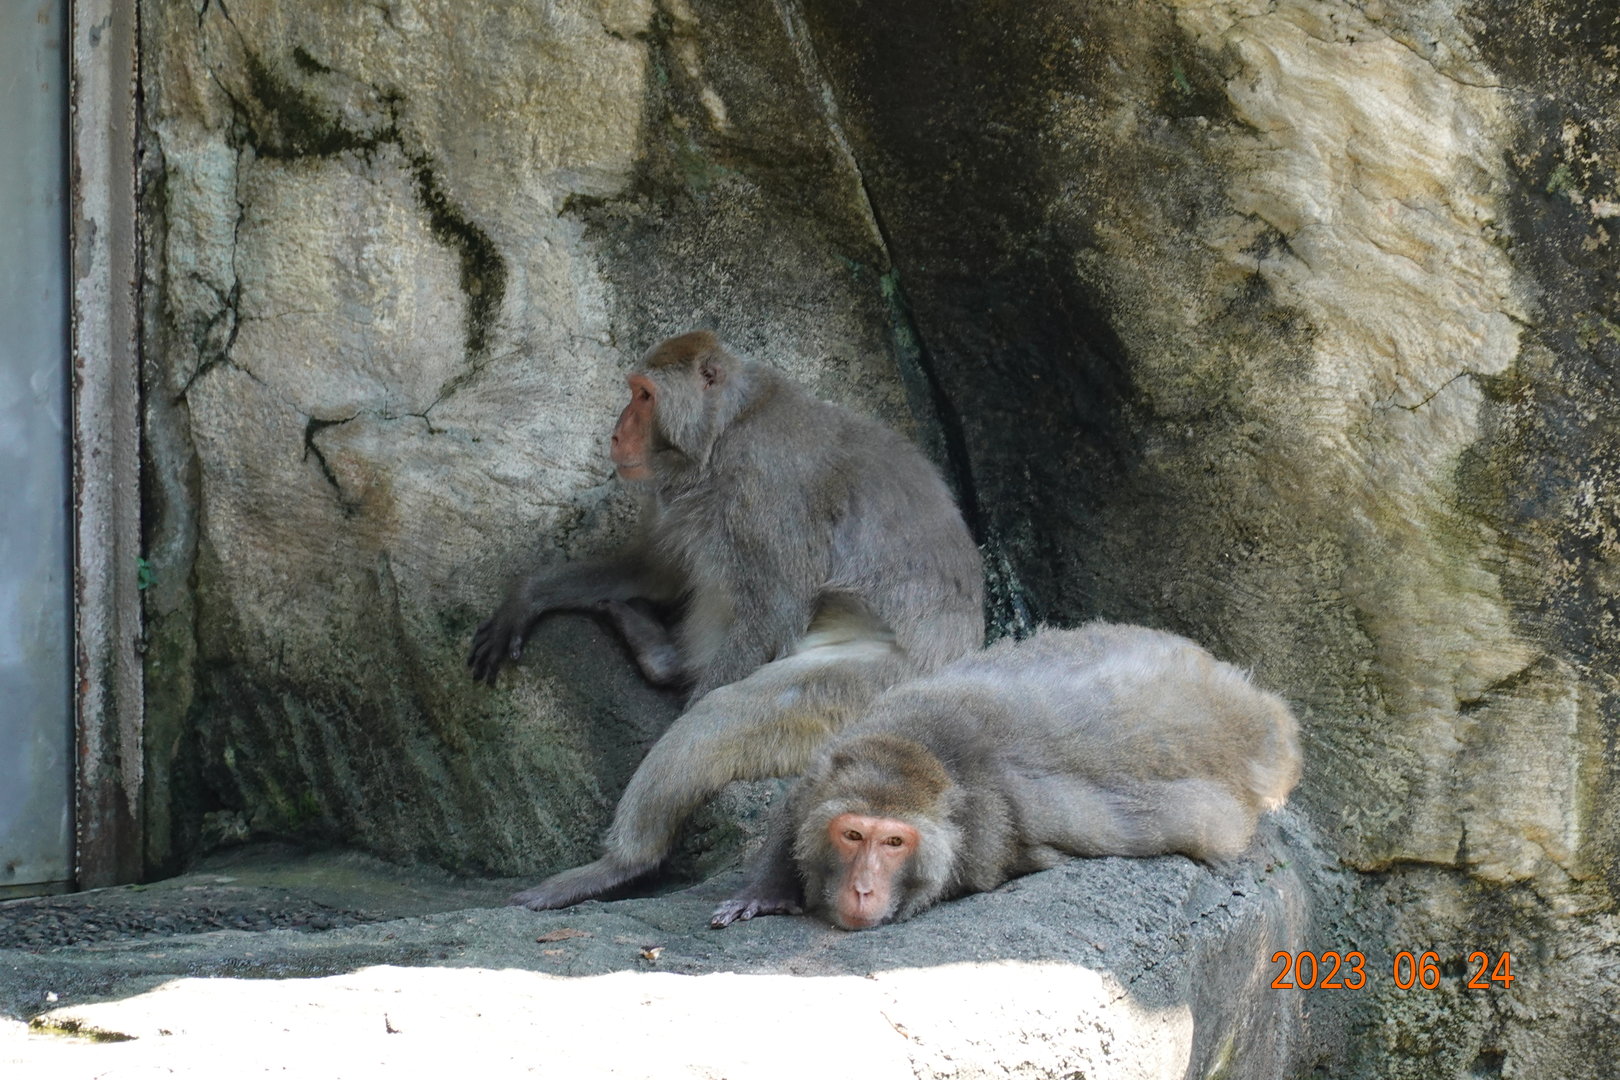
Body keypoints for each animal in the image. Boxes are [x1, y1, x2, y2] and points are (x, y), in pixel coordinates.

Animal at [467, 331, 984, 910]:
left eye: (643, 395)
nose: (616, 432)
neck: (727, 428)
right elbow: (655, 571)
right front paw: (528, 596)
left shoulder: (761, 486)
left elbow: (772, 612)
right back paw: (660, 655)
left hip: (869, 694)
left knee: (724, 714)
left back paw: (622, 862)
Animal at [711, 621, 1303, 931]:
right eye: (853, 834)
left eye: (894, 842)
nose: (862, 889)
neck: (924, 745)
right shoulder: (829, 763)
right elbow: (794, 806)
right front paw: (765, 890)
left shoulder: (986, 841)